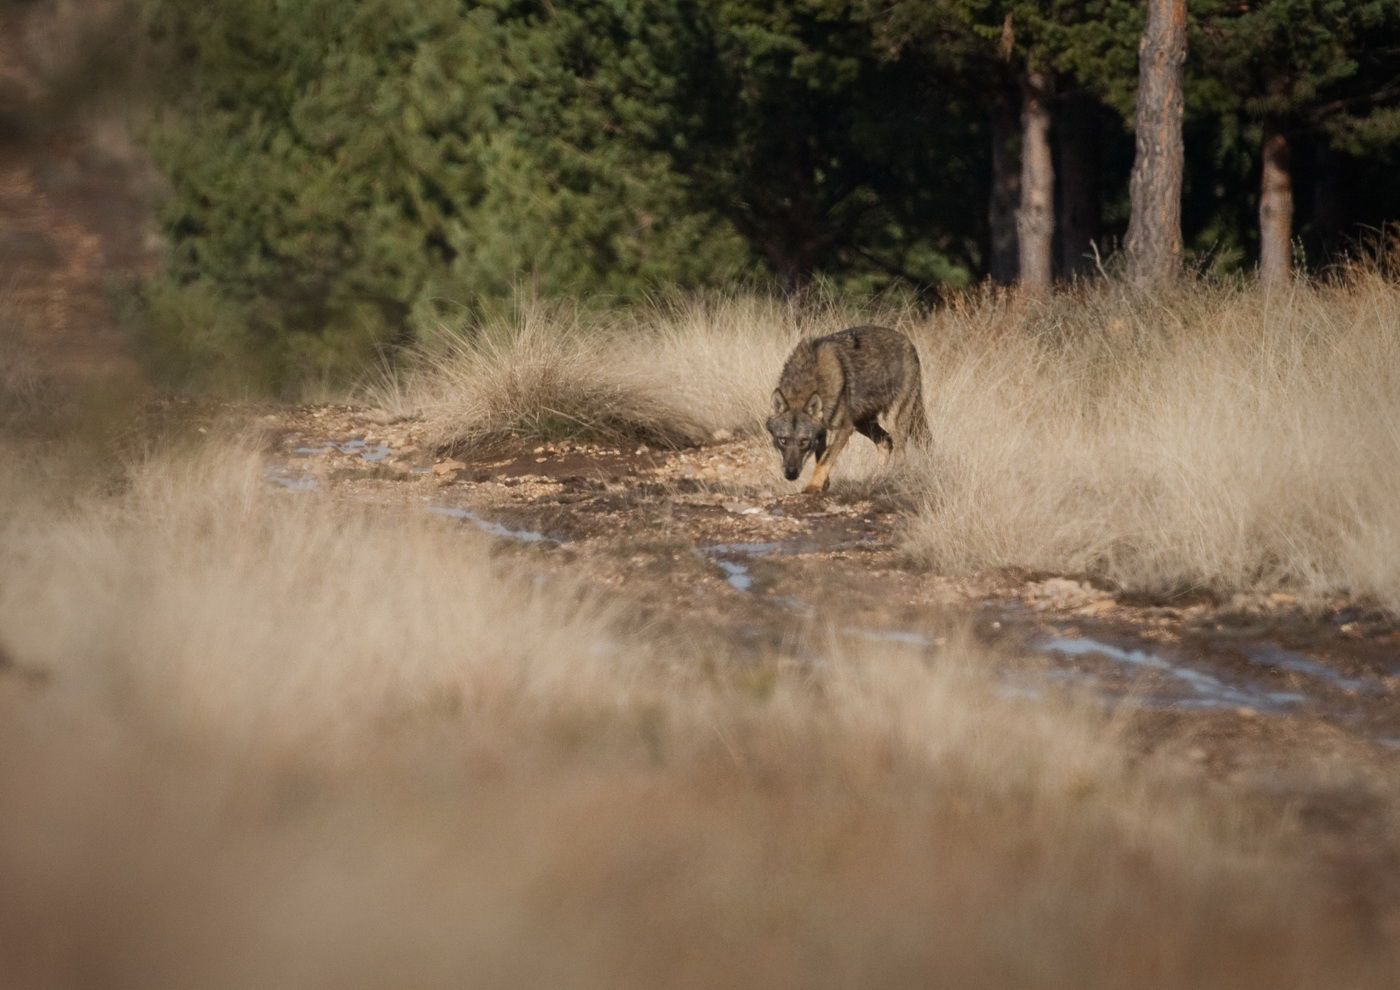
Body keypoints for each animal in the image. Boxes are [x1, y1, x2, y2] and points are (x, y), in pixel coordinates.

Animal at [767, 327, 929, 492]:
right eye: (783, 440)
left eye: (804, 441)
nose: (790, 473)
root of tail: (909, 343)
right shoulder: (824, 432)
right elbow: (821, 458)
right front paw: (824, 485)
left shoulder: (844, 428)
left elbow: (825, 459)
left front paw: (813, 486)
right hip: (863, 423)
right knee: (886, 442)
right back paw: (874, 481)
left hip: (892, 420)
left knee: (900, 455)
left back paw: (892, 479)